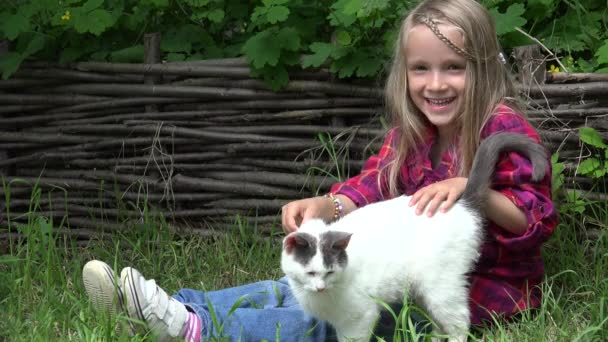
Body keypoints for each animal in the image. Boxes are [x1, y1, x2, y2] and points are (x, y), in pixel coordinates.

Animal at [282, 132, 548, 340]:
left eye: (329, 272)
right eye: (310, 273)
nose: (320, 287)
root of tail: (462, 205)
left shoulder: (359, 316)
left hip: (441, 286)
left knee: (459, 321)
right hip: (423, 292)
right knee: (440, 324)